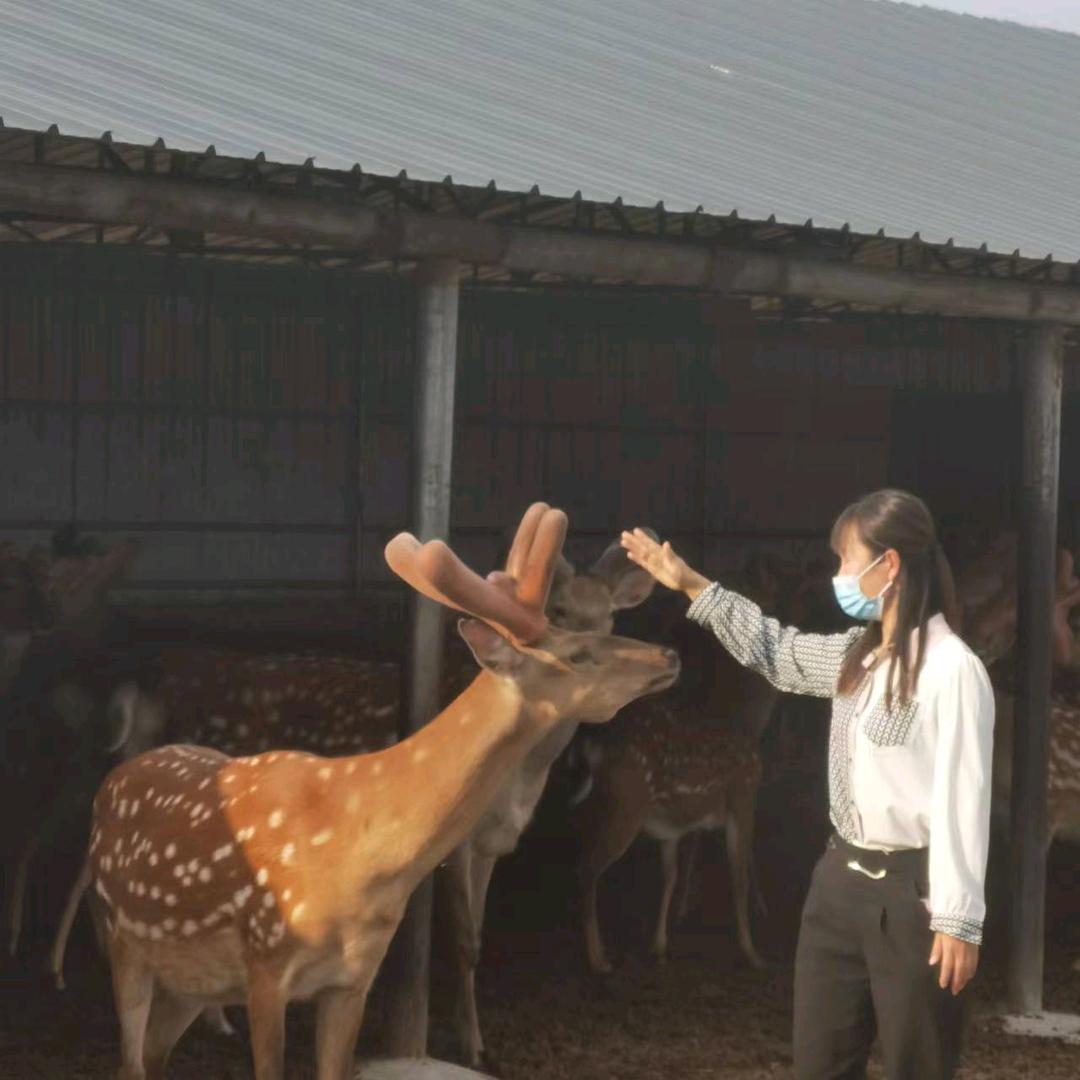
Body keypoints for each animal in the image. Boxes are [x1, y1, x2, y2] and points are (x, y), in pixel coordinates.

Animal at [84, 502, 680, 1079]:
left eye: (610, 622)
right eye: (577, 650)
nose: (669, 655)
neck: (364, 856)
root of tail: (113, 778)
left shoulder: (353, 977)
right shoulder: (265, 961)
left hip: (190, 980)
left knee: (153, 1057)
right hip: (122, 939)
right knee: (130, 1061)